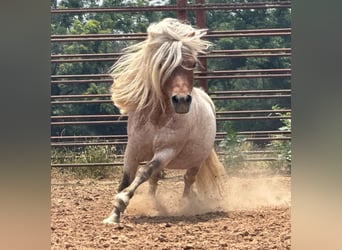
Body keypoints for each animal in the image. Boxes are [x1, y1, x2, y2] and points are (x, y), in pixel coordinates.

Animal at [103, 17, 226, 225]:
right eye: (163, 64)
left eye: (193, 64)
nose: (182, 100)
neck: (157, 118)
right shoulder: (133, 148)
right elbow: (127, 178)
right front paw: (113, 215)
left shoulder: (167, 151)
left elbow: (143, 172)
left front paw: (122, 200)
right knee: (155, 179)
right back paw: (154, 204)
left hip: (196, 161)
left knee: (187, 180)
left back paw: (186, 205)